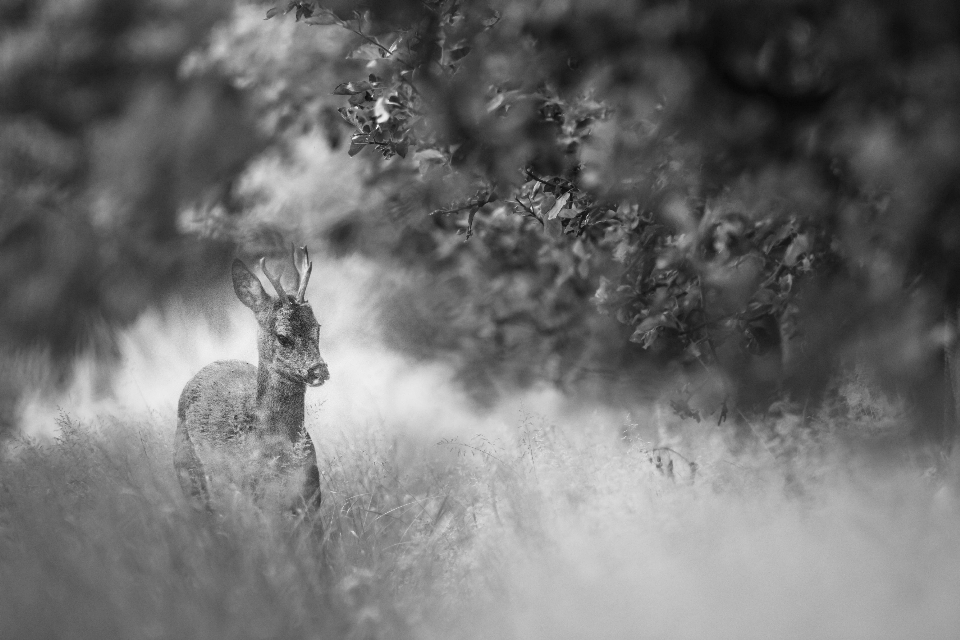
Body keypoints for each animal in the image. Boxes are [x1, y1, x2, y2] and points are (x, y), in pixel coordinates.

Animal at [175, 248, 330, 512]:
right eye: (282, 337)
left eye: (317, 328)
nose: (319, 370)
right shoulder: (254, 496)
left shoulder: (311, 495)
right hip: (185, 464)